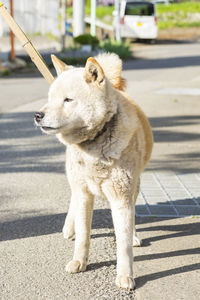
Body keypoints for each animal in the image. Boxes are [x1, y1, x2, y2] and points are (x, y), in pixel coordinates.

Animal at [34, 52, 153, 290]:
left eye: (68, 100)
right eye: (50, 98)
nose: (38, 115)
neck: (94, 143)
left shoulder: (121, 196)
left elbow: (123, 242)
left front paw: (125, 275)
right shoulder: (84, 193)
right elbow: (83, 235)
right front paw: (79, 261)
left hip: (133, 187)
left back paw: (134, 236)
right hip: (77, 182)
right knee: (73, 201)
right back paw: (69, 227)